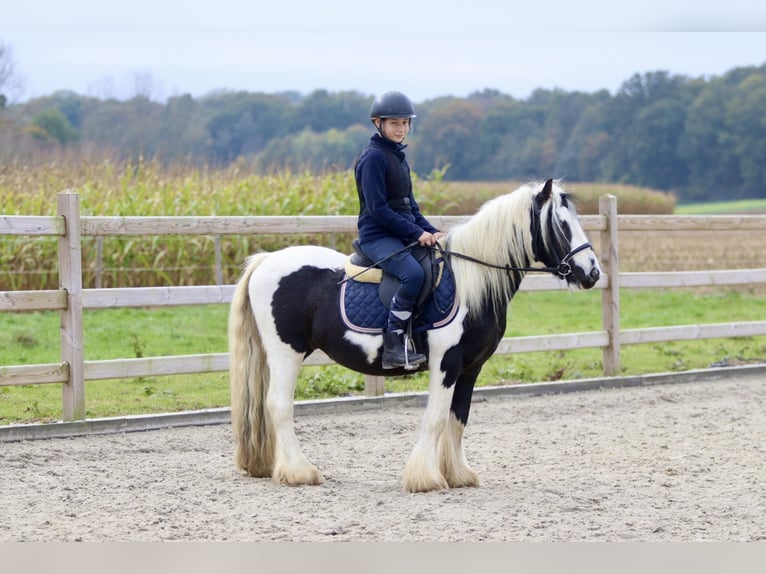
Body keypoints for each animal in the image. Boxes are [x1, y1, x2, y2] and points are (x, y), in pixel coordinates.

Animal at [231, 181, 604, 496]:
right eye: (561, 225)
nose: (593, 272)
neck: (470, 282)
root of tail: (266, 261)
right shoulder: (446, 363)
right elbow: (436, 418)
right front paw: (425, 478)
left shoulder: (470, 368)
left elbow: (458, 418)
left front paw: (458, 474)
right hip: (286, 353)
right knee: (278, 406)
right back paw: (299, 472)